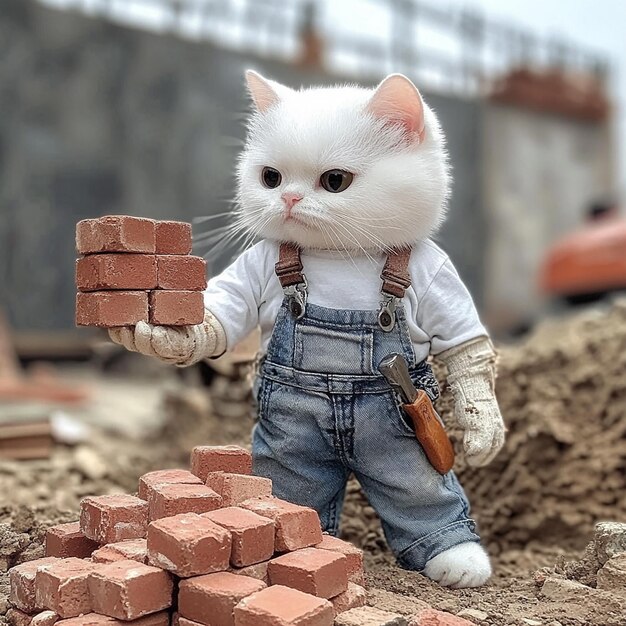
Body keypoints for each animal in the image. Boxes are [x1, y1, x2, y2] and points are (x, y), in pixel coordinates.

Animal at [111, 70, 502, 588]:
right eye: (270, 177)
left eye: (335, 181)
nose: (289, 198)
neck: (339, 256)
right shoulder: (257, 266)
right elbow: (220, 321)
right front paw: (163, 335)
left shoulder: (435, 275)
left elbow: (466, 351)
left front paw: (484, 429)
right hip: (288, 452)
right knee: (297, 486)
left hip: (407, 448)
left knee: (418, 494)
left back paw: (459, 559)